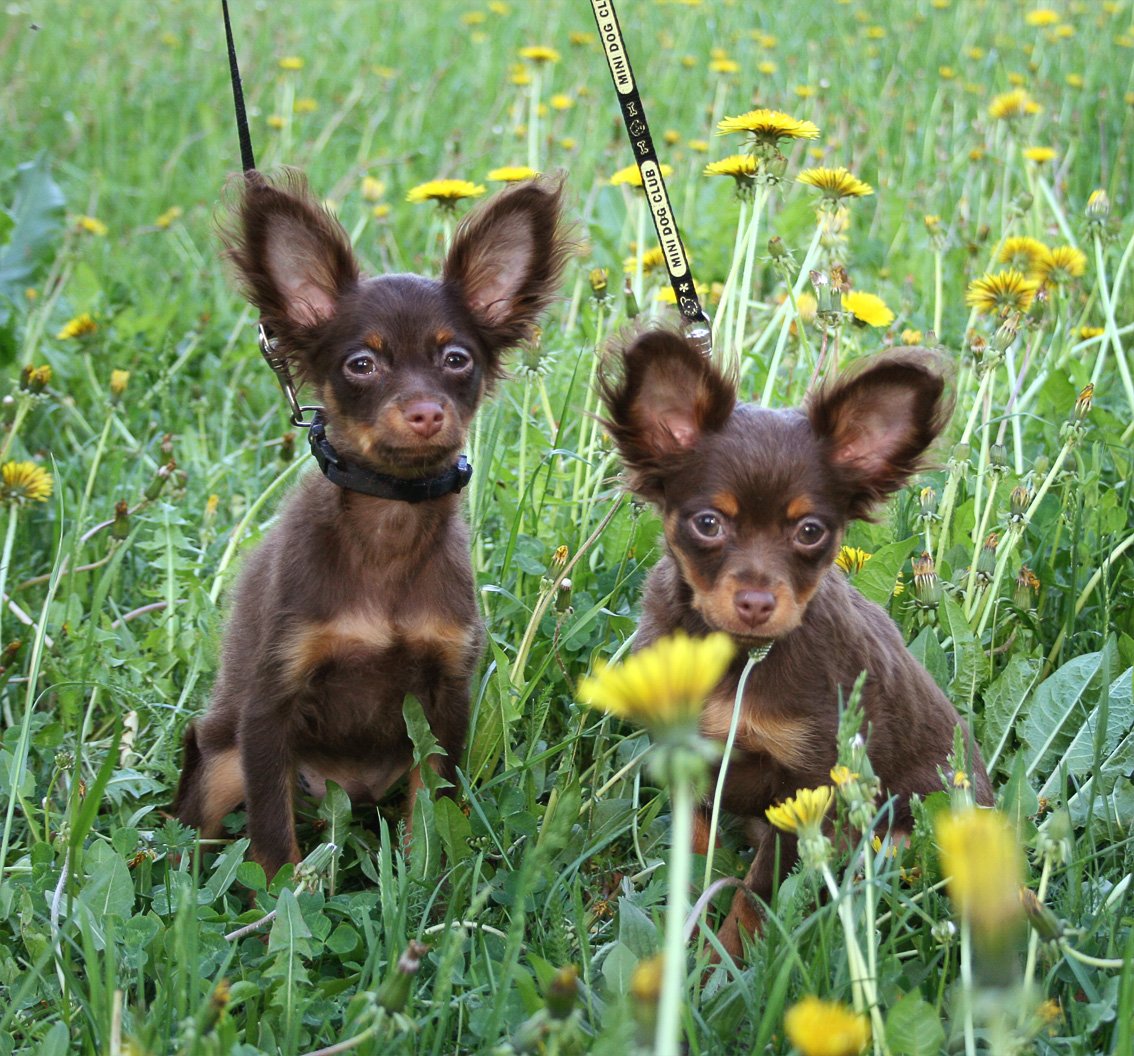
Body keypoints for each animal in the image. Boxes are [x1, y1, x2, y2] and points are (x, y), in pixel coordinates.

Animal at [173, 173, 571, 880]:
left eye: (457, 359)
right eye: (361, 364)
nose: (425, 412)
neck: (391, 519)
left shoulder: (445, 697)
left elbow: (431, 803)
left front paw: (420, 880)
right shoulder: (270, 705)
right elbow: (271, 836)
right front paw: (280, 897)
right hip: (222, 758)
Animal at [603, 328, 993, 957]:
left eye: (810, 532)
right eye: (708, 524)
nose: (757, 602)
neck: (737, 656)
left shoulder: (809, 789)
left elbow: (757, 893)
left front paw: (724, 964)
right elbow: (697, 851)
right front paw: (689, 923)